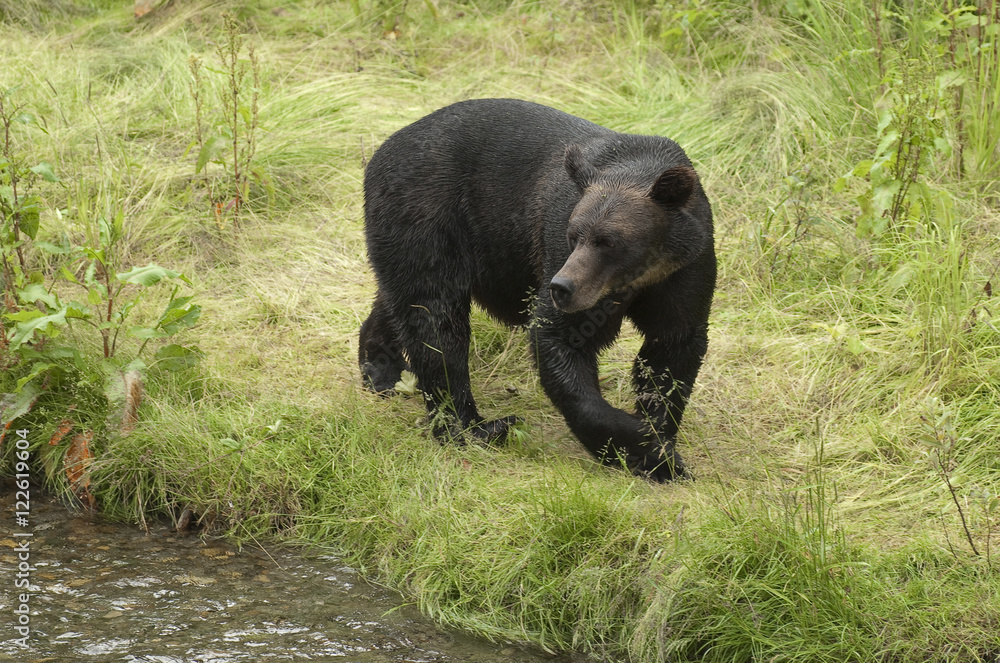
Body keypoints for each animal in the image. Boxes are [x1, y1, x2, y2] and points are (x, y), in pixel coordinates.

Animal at [358, 98, 715, 482]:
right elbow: (560, 340)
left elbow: (671, 352)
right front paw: (643, 447)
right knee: (436, 319)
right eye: (575, 235)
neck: (639, 276)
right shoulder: (558, 246)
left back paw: (381, 370)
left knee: (406, 303)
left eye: (609, 241)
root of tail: (383, 148)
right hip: (427, 211)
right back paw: (476, 426)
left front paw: (660, 445)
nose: (563, 287)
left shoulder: (683, 271)